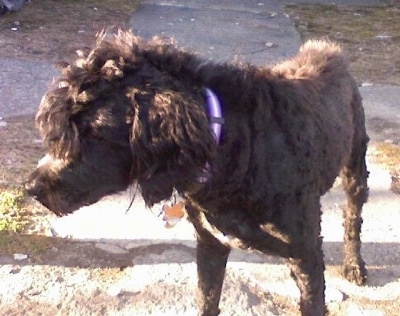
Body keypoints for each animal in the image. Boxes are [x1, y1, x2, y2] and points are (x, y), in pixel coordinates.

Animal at [25, 30, 368, 316]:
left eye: (94, 132)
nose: (32, 187)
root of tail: (326, 47)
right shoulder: (210, 244)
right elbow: (207, 300)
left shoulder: (305, 252)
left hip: (355, 167)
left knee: (352, 217)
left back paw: (354, 265)